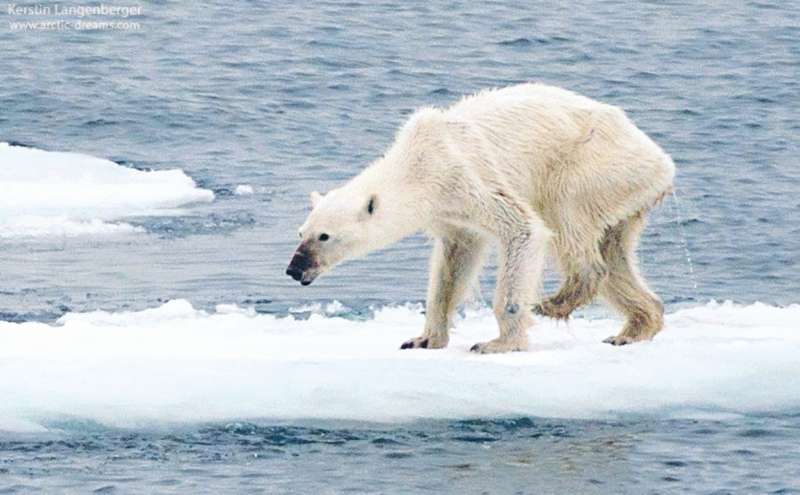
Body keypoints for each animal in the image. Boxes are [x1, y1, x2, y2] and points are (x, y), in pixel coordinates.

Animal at [286, 83, 674, 353]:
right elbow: (453, 264)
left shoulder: (465, 176)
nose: (294, 268)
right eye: (301, 232)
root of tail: (662, 161)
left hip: (593, 166)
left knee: (567, 217)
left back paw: (555, 301)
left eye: (324, 236)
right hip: (625, 194)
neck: (418, 164)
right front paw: (423, 339)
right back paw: (633, 328)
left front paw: (498, 343)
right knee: (615, 253)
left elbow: (524, 229)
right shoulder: (449, 213)